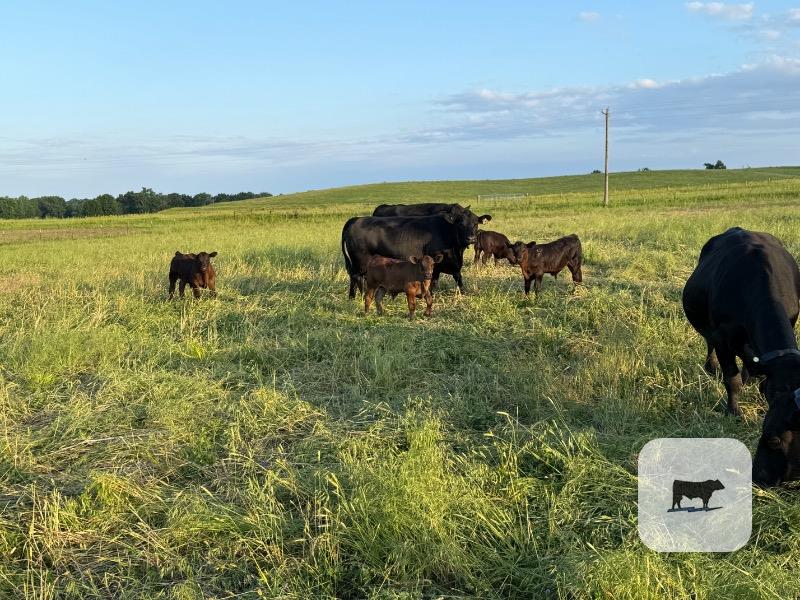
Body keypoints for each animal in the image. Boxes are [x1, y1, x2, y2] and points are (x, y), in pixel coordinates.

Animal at [341, 211, 491, 298]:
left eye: (476, 223)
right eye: (460, 223)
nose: (471, 238)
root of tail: (355, 219)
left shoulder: (454, 264)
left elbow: (458, 278)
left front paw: (464, 293)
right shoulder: (436, 263)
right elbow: (434, 281)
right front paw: (430, 296)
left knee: (355, 278)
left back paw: (353, 297)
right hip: (360, 261)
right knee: (358, 278)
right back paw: (360, 297)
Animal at [681, 227, 800, 487]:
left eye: (774, 439)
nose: (758, 476)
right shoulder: (722, 336)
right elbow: (731, 379)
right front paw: (734, 411)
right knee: (709, 344)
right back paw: (711, 367)